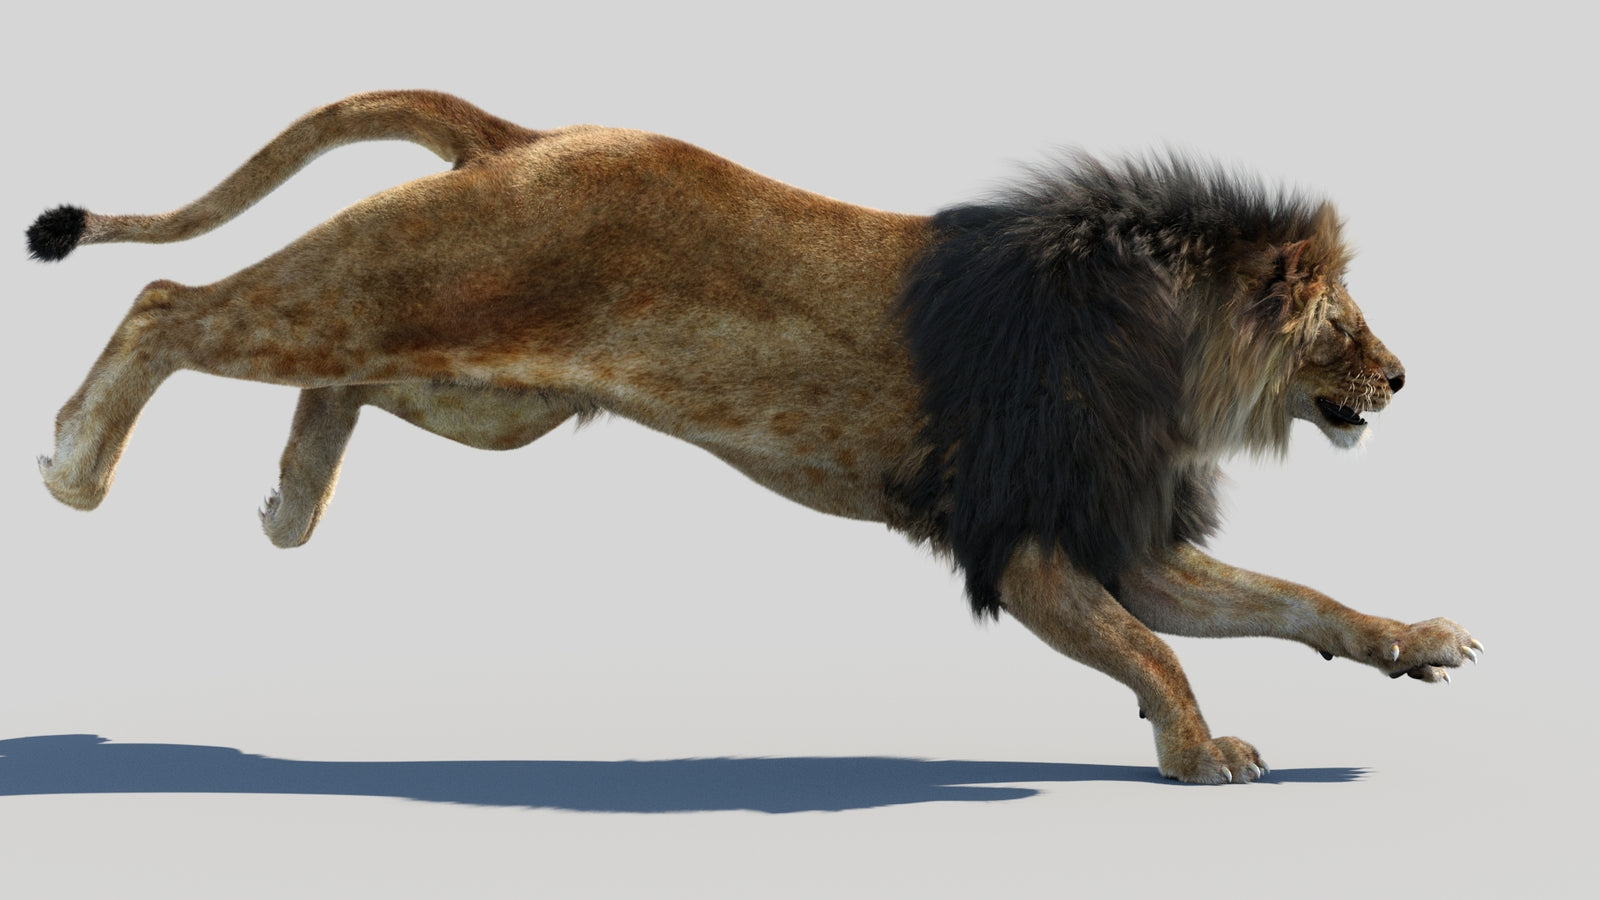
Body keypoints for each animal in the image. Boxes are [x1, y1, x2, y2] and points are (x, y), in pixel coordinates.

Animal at [27, 90, 1479, 784]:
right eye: (1337, 317)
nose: (1402, 378)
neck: (1178, 363)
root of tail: (527, 135)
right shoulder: (1024, 546)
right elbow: (1155, 654)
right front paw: (1201, 756)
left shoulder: (1118, 537)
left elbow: (1297, 598)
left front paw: (1416, 643)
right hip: (391, 290)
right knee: (172, 305)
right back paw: (75, 466)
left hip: (482, 394)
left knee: (336, 386)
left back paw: (286, 505)